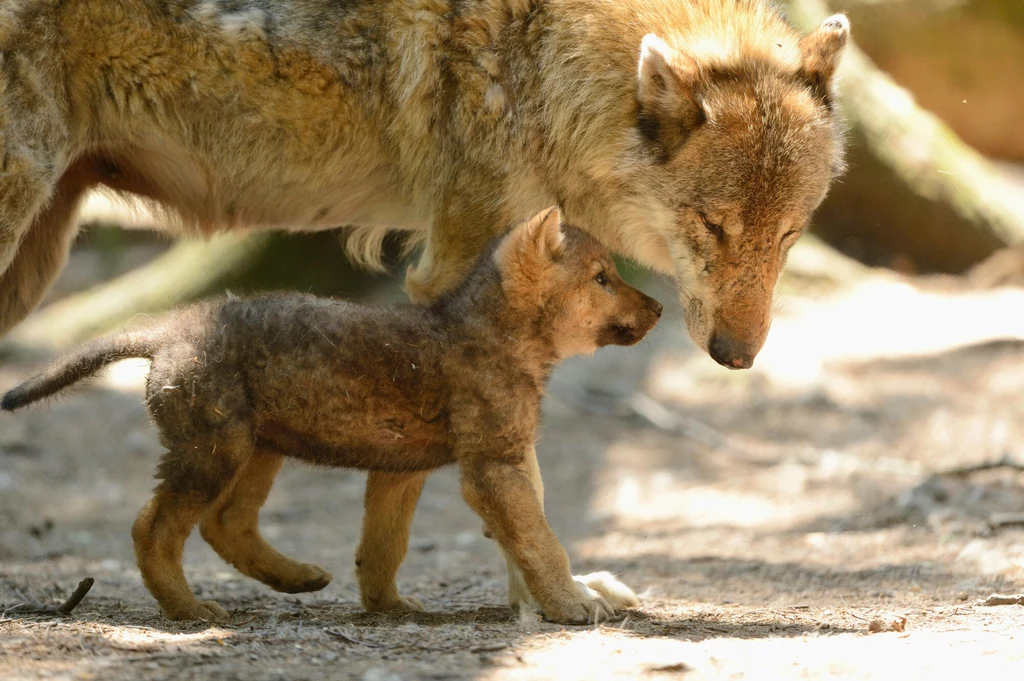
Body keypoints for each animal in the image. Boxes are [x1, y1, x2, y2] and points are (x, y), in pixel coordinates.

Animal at [0, 0, 847, 614]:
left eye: (790, 233)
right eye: (713, 225)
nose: (738, 355)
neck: (541, 56)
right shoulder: (453, 271)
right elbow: (525, 494)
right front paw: (546, 602)